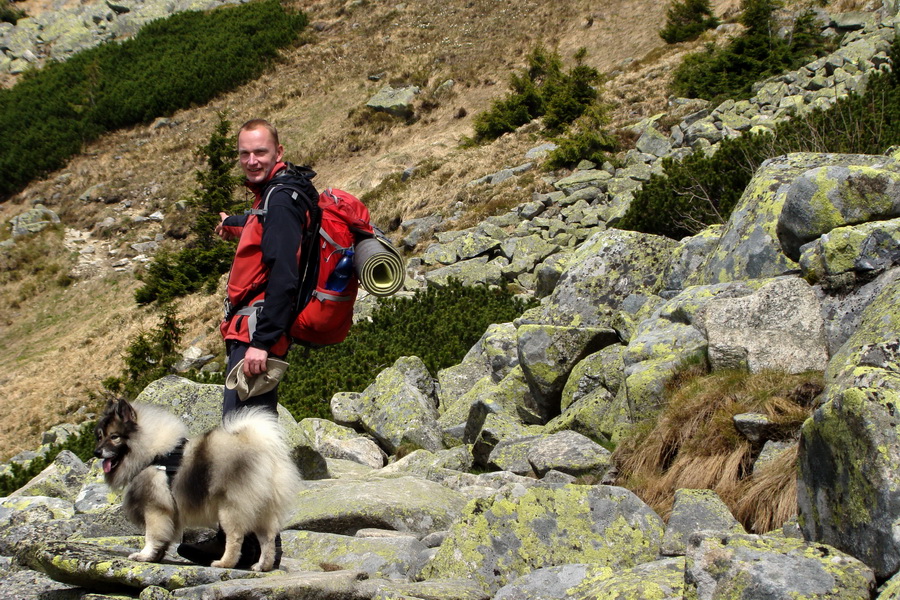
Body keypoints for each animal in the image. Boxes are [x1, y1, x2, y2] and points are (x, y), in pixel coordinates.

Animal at [94, 398, 298, 572]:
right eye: (100, 436)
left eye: (114, 437)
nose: (96, 452)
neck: (153, 453)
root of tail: (263, 448)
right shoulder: (170, 513)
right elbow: (164, 538)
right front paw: (156, 556)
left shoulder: (154, 509)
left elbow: (151, 536)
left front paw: (144, 555)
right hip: (263, 511)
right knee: (268, 539)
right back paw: (263, 566)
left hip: (231, 508)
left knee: (235, 538)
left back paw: (224, 563)